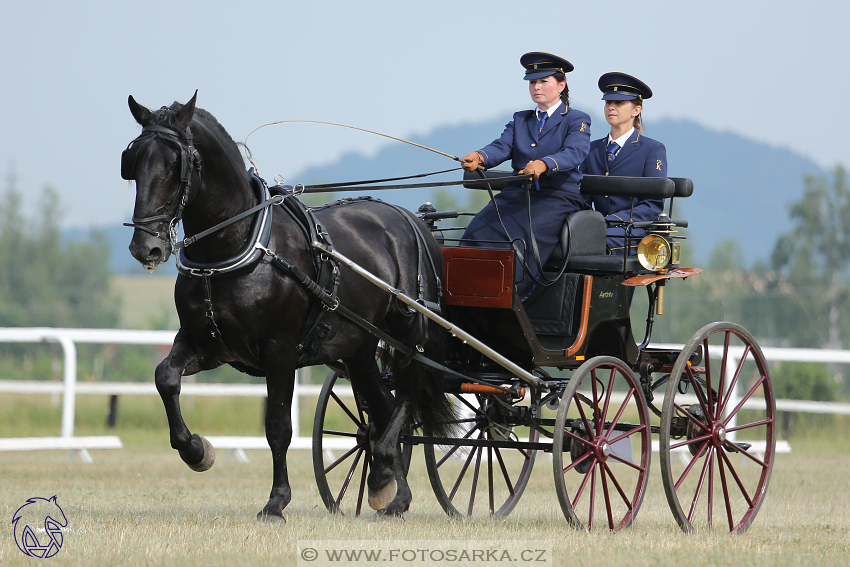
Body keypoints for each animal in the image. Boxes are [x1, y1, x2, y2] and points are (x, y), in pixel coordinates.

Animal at [123, 94, 454, 524]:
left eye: (174, 165)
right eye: (133, 163)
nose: (145, 247)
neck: (233, 247)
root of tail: (413, 220)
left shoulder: (278, 350)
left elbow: (278, 425)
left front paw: (276, 502)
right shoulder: (207, 344)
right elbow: (166, 377)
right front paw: (196, 450)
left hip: (408, 336)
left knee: (409, 390)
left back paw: (384, 472)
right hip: (360, 349)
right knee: (384, 408)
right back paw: (391, 490)